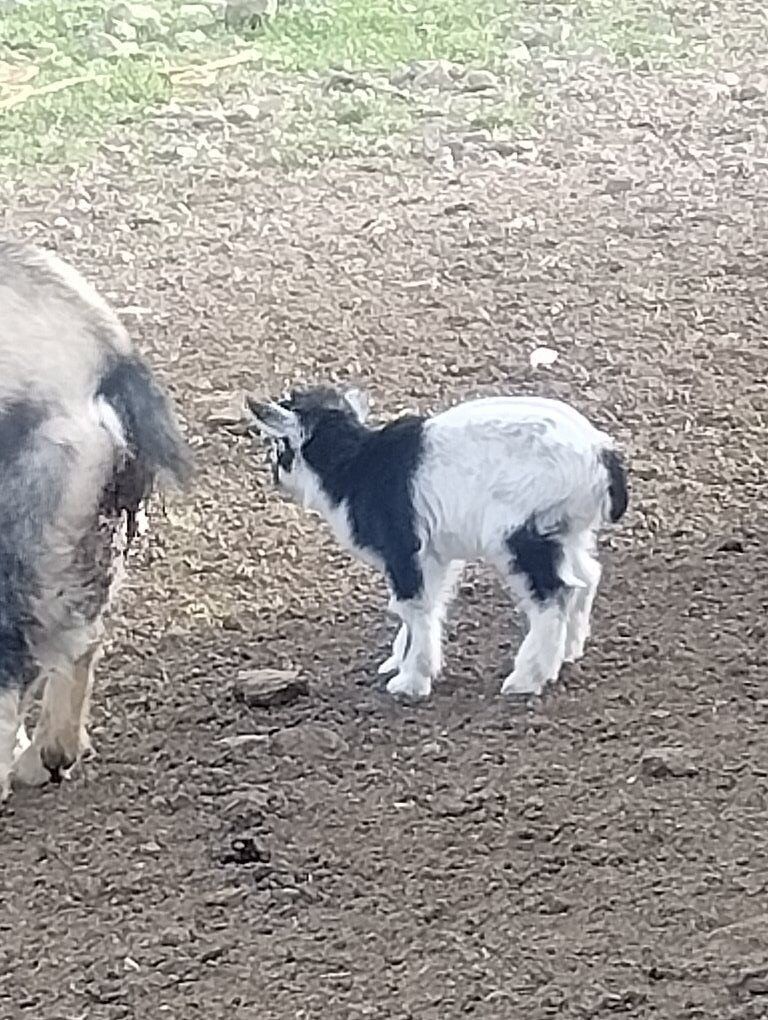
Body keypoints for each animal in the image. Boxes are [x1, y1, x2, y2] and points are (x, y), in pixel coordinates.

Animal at [246, 385, 628, 700]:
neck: (354, 466)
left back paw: (528, 678)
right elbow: (423, 604)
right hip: (565, 529)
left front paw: (411, 681)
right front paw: (399, 661)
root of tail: (600, 453)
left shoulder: (403, 548)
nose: (275, 478)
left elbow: (412, 606)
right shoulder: (434, 554)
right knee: (585, 577)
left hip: (518, 532)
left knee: (554, 593)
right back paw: (568, 651)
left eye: (278, 445)